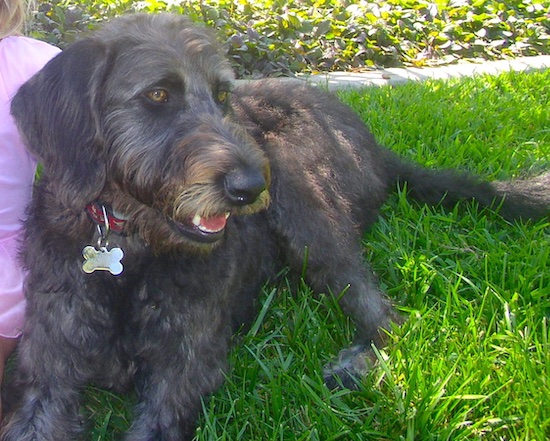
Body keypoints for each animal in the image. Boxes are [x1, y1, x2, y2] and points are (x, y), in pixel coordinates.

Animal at [2, 12, 548, 438]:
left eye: (224, 95)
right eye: (157, 94)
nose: (249, 187)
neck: (131, 247)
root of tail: (376, 146)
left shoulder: (184, 366)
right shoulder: (48, 369)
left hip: (301, 197)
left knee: (382, 312)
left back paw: (356, 362)